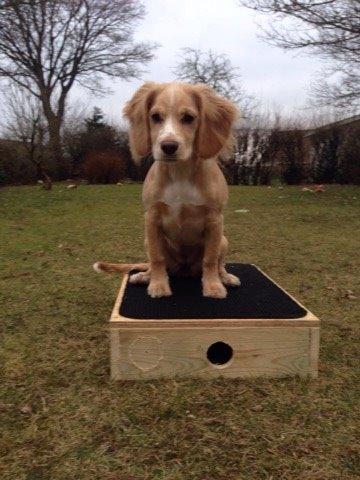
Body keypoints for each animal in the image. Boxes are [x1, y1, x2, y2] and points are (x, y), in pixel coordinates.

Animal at [93, 83, 240, 300]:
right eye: (155, 117)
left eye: (188, 118)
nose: (168, 146)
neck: (180, 173)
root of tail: (185, 270)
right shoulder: (152, 217)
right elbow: (157, 258)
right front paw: (158, 285)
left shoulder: (215, 219)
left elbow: (210, 259)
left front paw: (213, 286)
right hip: (148, 239)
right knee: (153, 262)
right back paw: (145, 275)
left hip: (223, 240)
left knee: (219, 263)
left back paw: (225, 277)